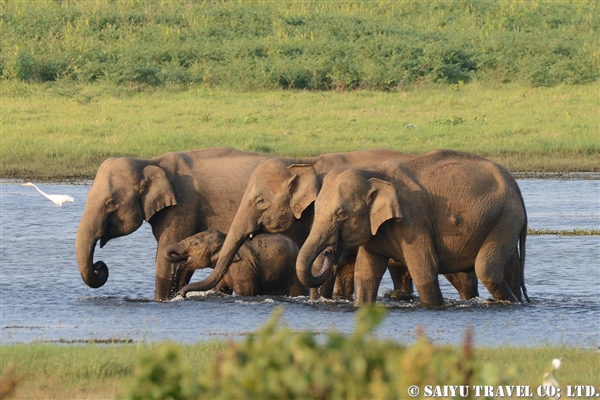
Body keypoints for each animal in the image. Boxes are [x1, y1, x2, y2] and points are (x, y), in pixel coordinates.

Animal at [75, 147, 272, 300]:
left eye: (110, 203)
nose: (99, 267)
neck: (150, 162)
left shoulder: (183, 206)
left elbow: (165, 261)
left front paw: (162, 301)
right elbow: (182, 263)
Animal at [163, 230, 304, 298]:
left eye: (195, 244)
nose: (181, 294)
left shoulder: (242, 267)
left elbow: (246, 291)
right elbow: (220, 289)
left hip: (292, 271)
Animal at [298, 150, 528, 306]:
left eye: (341, 214)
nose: (328, 251)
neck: (373, 173)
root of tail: (515, 185)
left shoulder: (413, 222)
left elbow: (424, 269)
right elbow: (366, 272)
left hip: (506, 216)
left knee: (487, 269)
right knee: (509, 270)